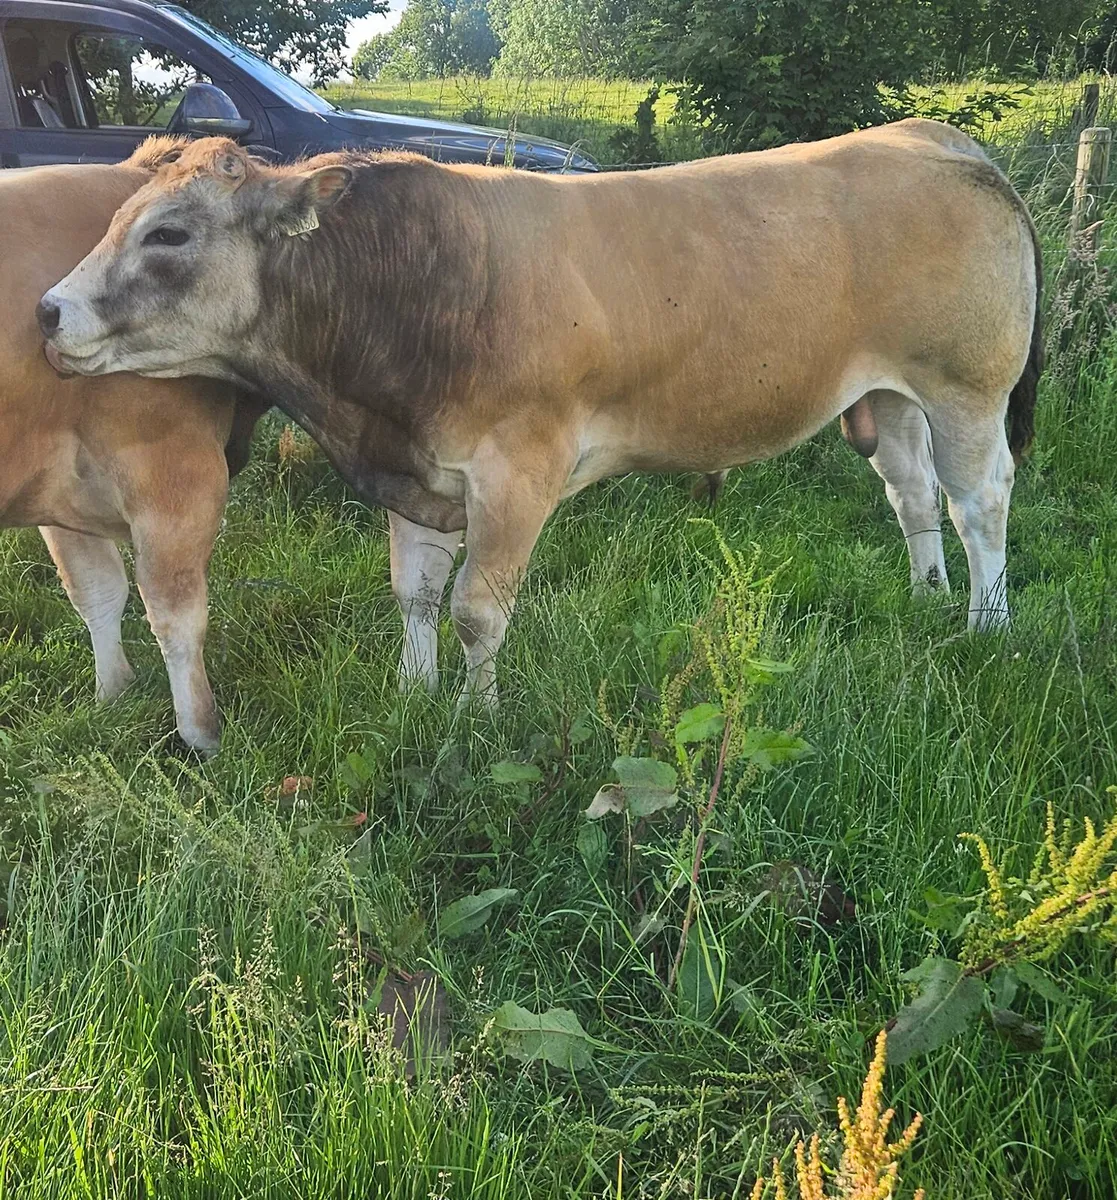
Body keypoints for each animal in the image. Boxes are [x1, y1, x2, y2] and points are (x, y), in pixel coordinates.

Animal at [1, 141, 266, 752]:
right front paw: (202, 736)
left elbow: (95, 590)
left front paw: (111, 696)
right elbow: (175, 612)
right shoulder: (175, 470)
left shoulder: (57, 490)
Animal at [37, 119, 1043, 704]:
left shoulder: (516, 471)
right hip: (890, 392)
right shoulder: (418, 468)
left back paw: (988, 626)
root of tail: (935, 137)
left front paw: (471, 720)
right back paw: (927, 595)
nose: (47, 310)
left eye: (169, 233)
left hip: (966, 385)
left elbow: (478, 612)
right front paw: (414, 697)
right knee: (911, 494)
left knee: (979, 501)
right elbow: (414, 592)